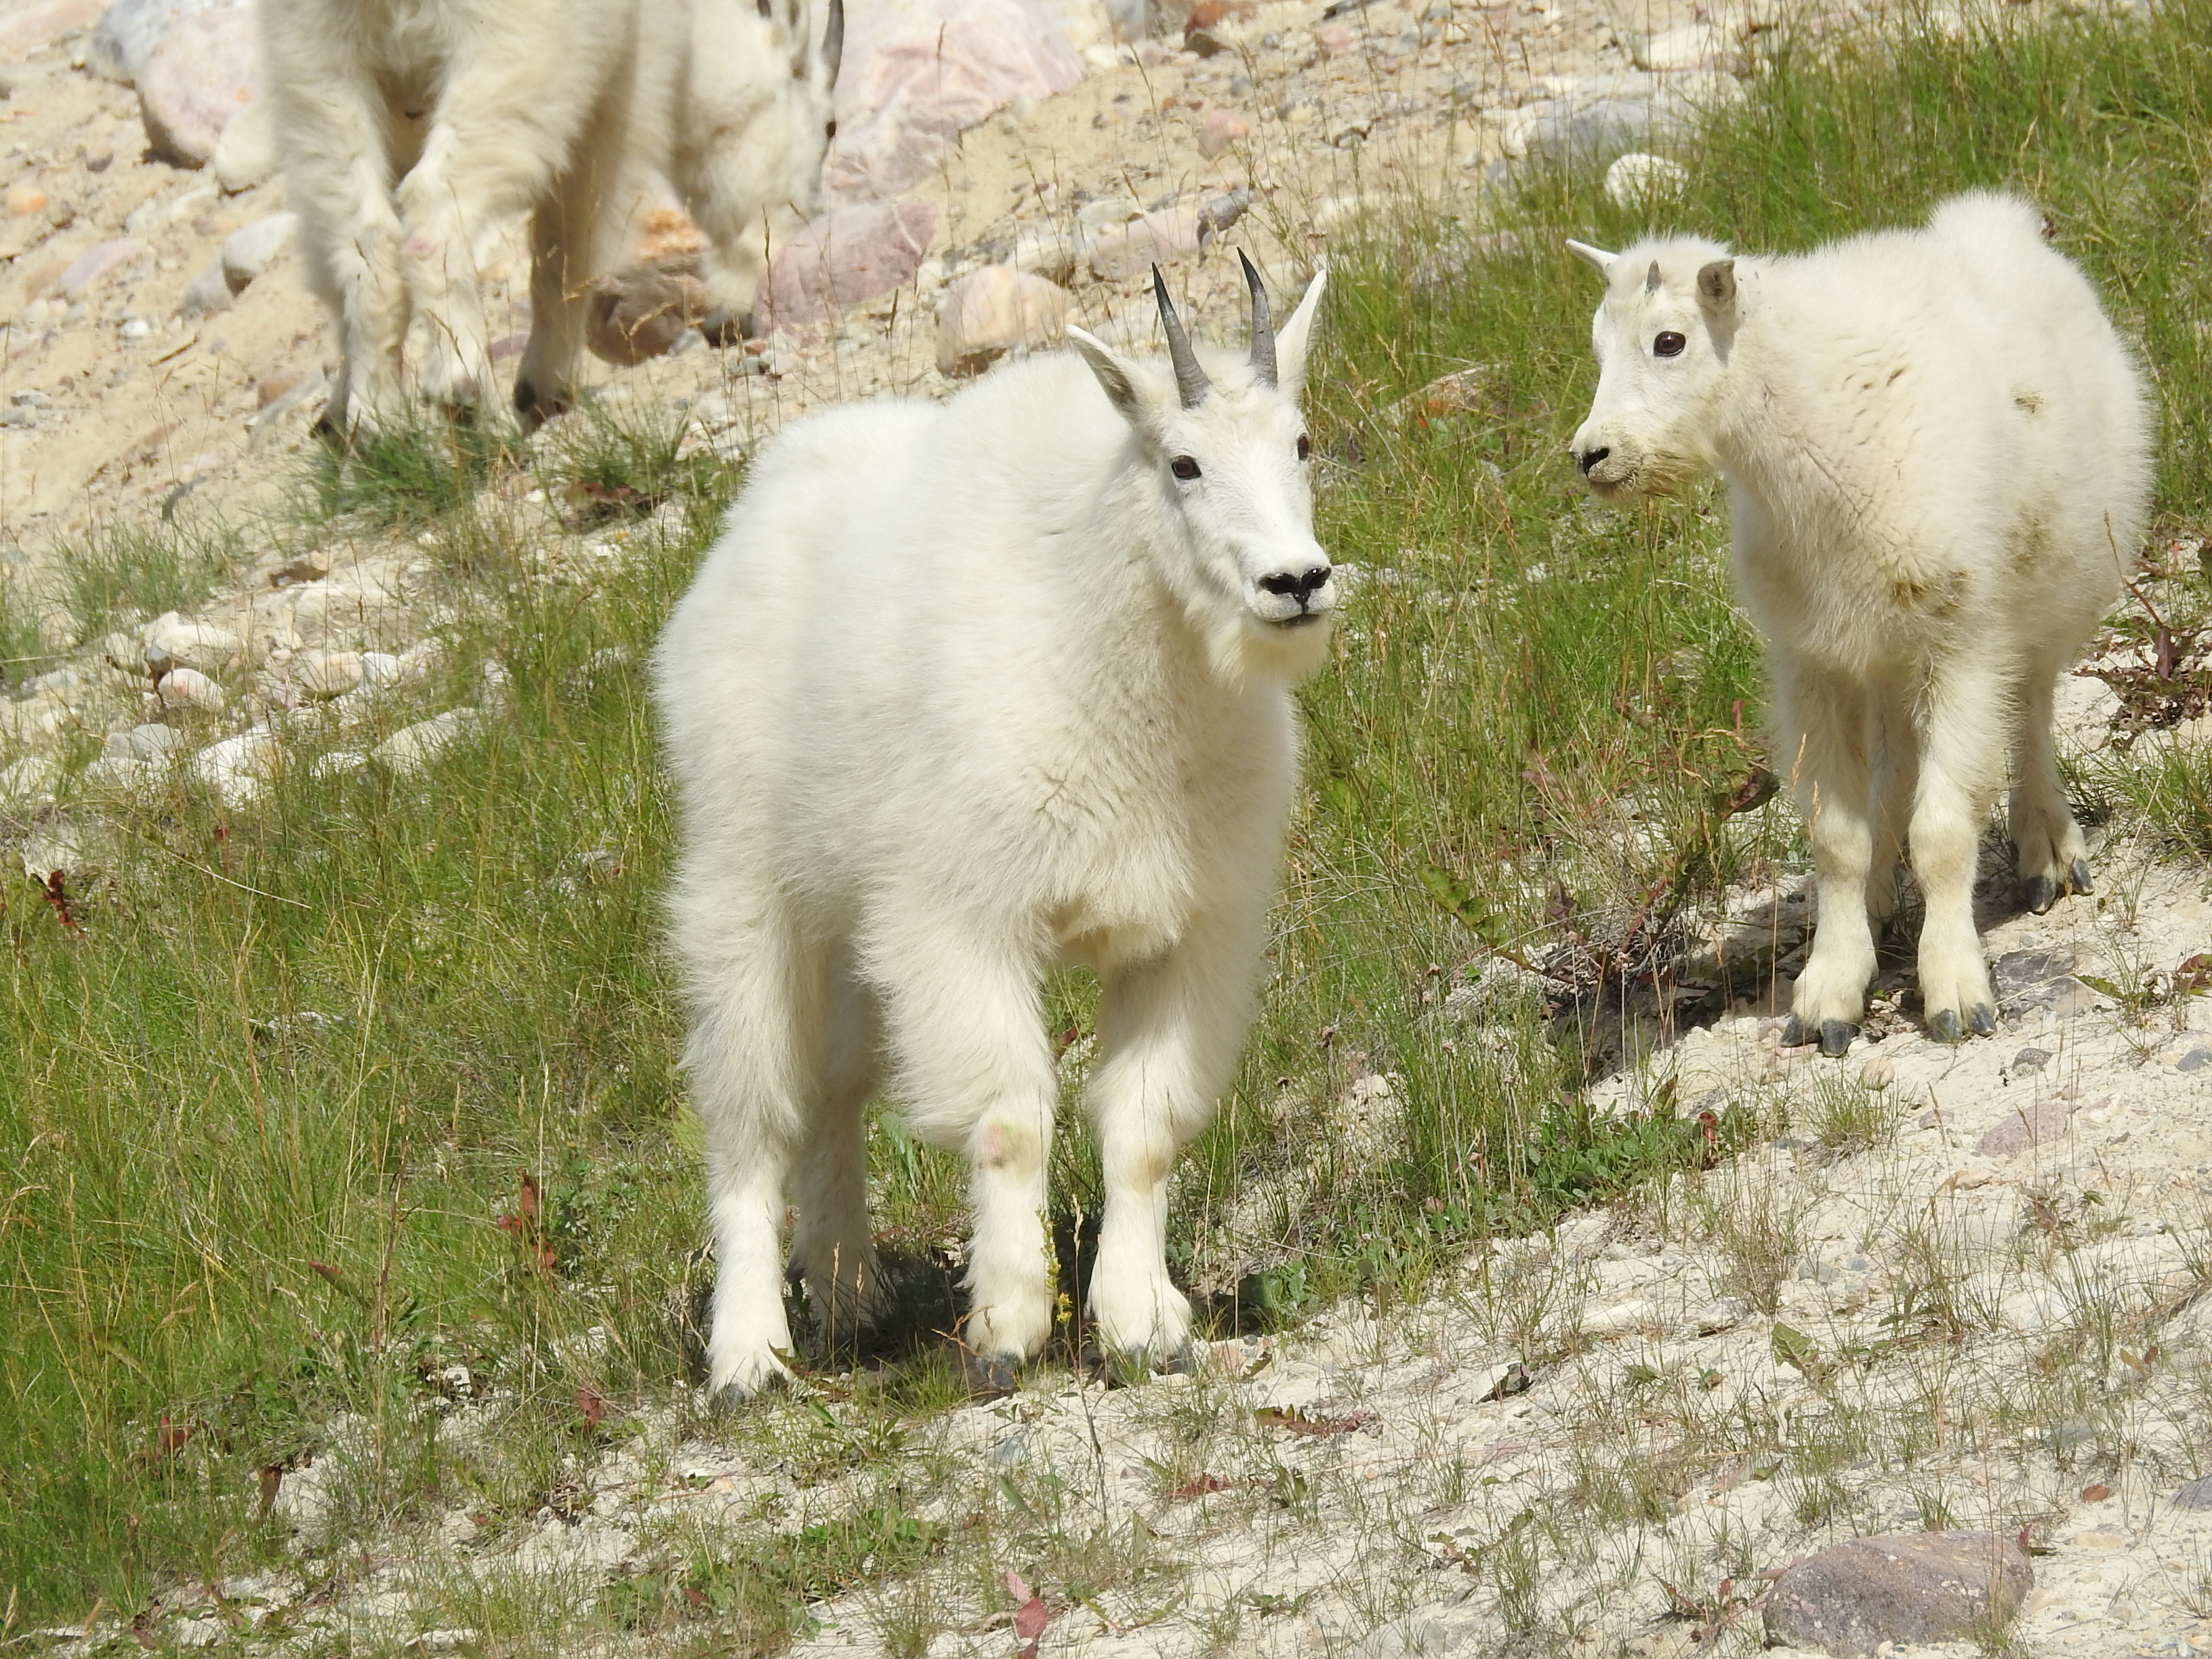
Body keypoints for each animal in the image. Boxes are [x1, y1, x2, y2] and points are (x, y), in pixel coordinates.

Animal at [654, 256, 1331, 1395]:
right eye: (1183, 463)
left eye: (1303, 442)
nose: (1297, 582)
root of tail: (753, 510)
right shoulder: (961, 916)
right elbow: (1011, 1117)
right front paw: (1007, 1325)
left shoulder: (1191, 931)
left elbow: (1144, 1125)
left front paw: (1142, 1322)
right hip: (746, 885)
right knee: (752, 1112)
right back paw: (751, 1352)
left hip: (851, 921)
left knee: (834, 1094)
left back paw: (847, 1295)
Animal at [1567, 192, 2148, 1053]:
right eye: (1600, 344)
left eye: (1670, 341)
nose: (1594, 456)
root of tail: (2001, 219)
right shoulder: (1812, 659)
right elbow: (1837, 838)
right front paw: (1829, 995)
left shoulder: (1961, 639)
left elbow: (1944, 830)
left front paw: (1956, 993)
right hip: (1884, 653)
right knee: (1896, 764)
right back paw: (1880, 897)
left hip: (2055, 584)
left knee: (2033, 706)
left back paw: (2049, 848)